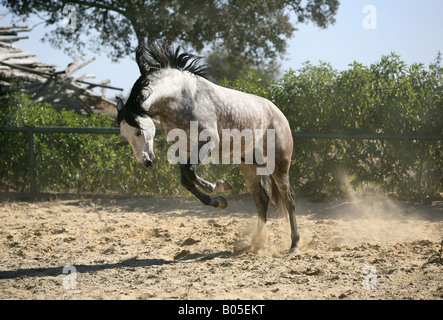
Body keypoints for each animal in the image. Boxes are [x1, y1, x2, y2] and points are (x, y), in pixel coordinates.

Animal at [116, 40, 302, 254]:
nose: (146, 161)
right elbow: (186, 179)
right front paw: (219, 200)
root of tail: (280, 115)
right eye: (124, 135)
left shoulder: (208, 141)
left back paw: (294, 244)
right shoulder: (184, 148)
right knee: (262, 199)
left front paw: (217, 186)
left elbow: (190, 173)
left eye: (138, 131)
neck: (180, 98)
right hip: (248, 164)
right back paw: (257, 242)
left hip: (278, 164)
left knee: (289, 199)